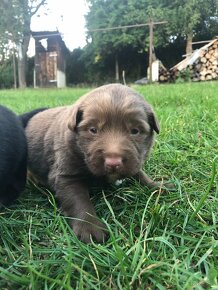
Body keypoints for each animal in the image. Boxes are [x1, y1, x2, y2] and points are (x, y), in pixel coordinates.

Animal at [25, 83, 162, 242]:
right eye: (93, 130)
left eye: (135, 131)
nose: (113, 162)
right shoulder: (66, 175)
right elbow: (78, 200)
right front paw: (89, 227)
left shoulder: (134, 160)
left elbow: (139, 173)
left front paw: (158, 185)